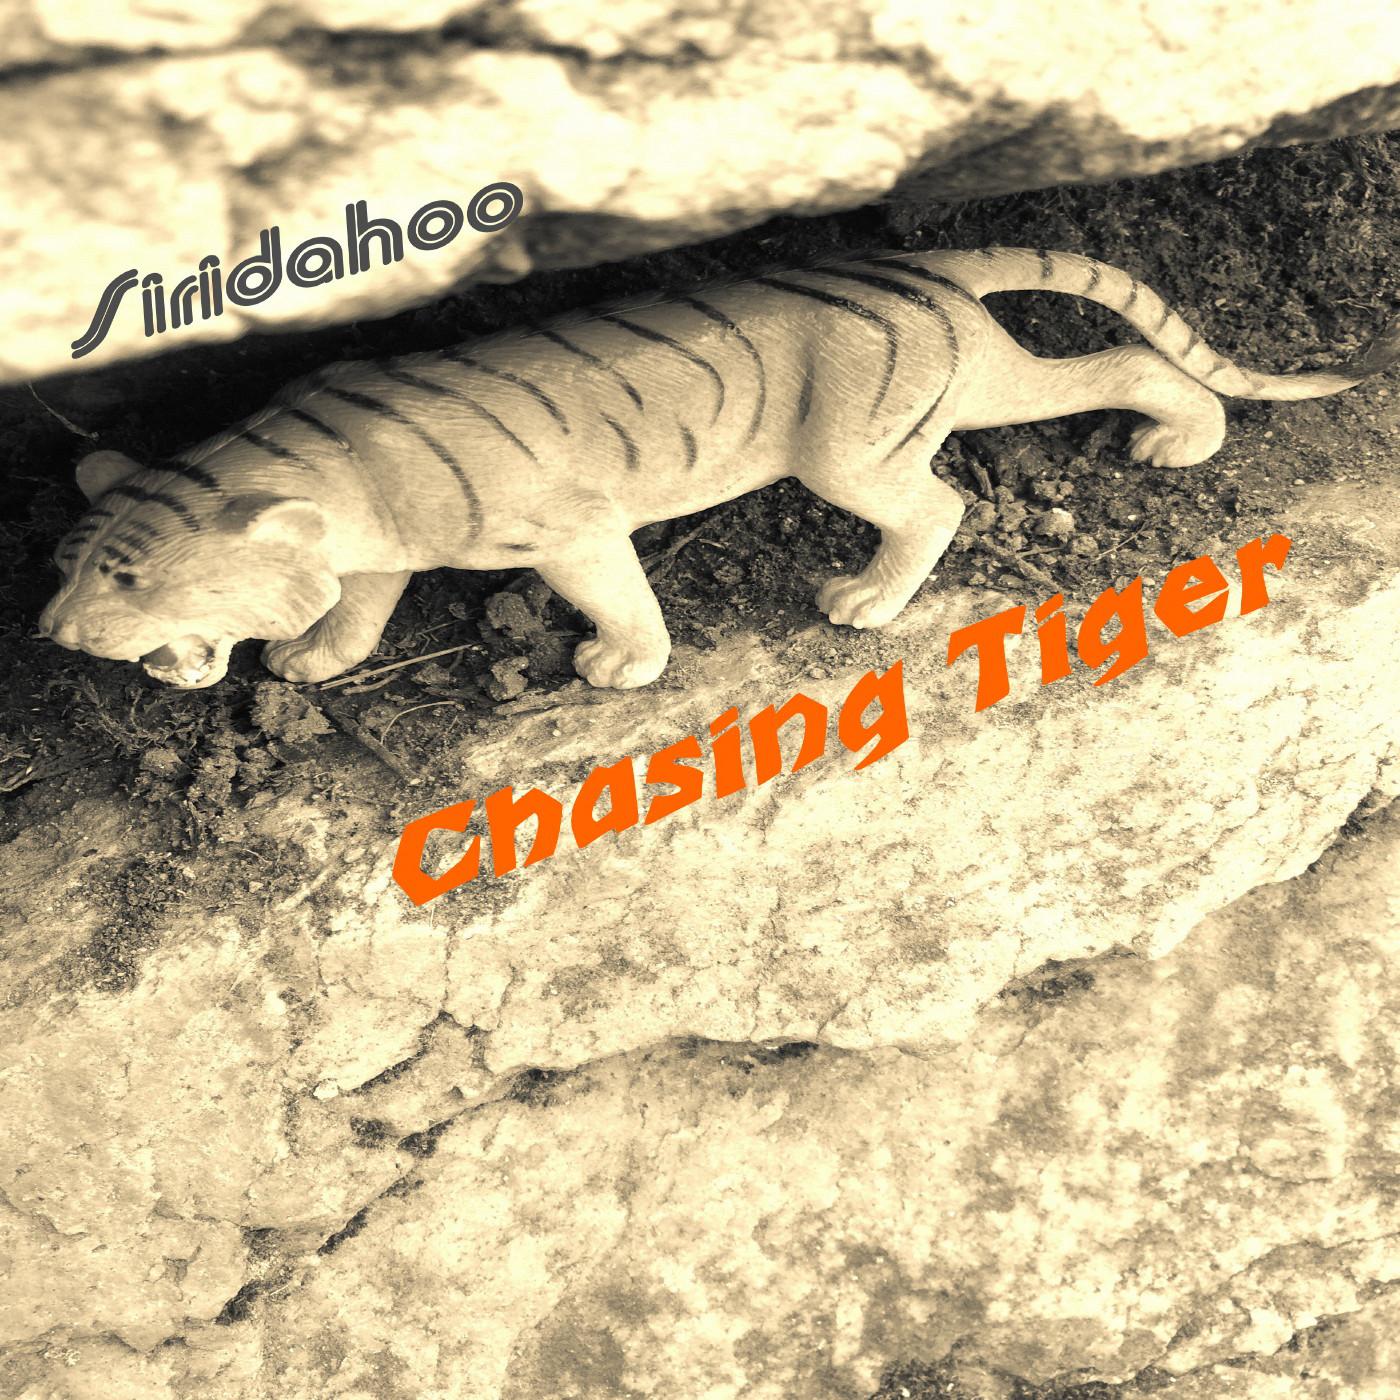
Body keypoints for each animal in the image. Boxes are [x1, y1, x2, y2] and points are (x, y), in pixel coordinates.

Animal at [39, 246, 1399, 691]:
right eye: (72, 562)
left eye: (130, 577)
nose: (51, 633)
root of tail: (913, 265)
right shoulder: (372, 552)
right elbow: (361, 609)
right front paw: (313, 659)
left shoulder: (571, 527)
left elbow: (615, 596)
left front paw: (621, 667)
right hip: (976, 374)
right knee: (1114, 361)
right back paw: (1180, 434)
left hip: (853, 449)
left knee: (939, 500)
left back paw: (866, 598)